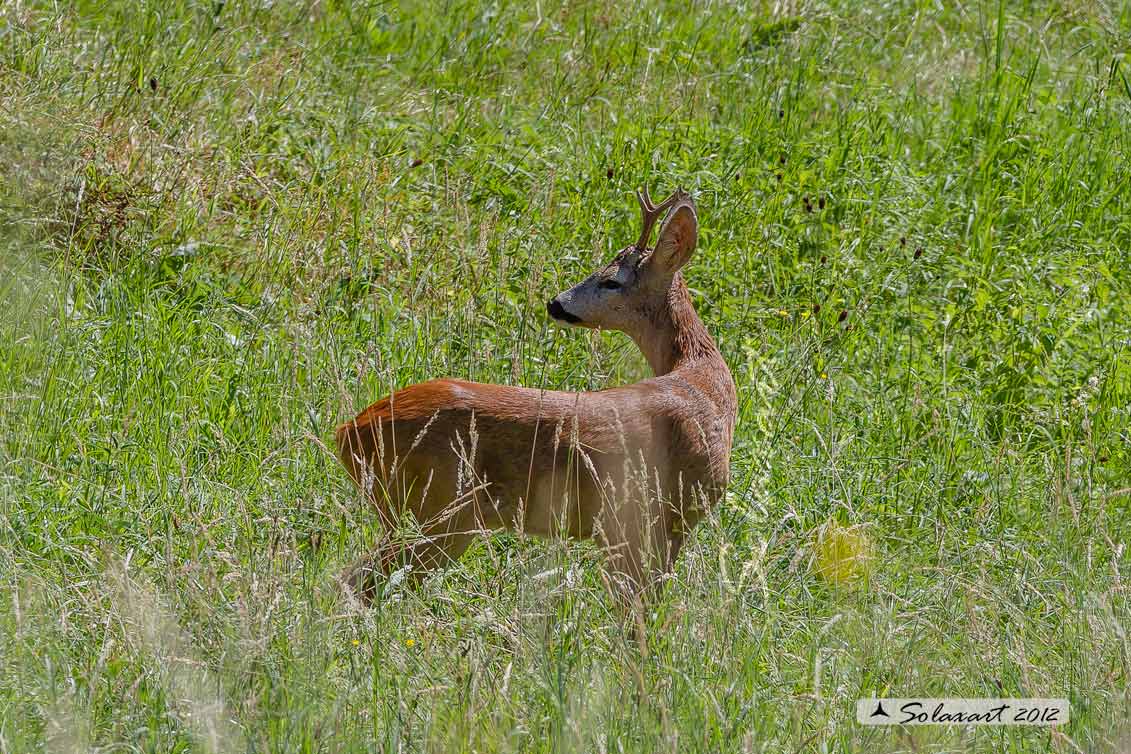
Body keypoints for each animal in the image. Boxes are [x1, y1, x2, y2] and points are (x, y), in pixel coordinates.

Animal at [334, 189, 737, 605]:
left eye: (611, 281)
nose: (555, 303)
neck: (702, 382)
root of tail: (348, 431)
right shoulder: (665, 518)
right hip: (439, 511)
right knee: (357, 580)